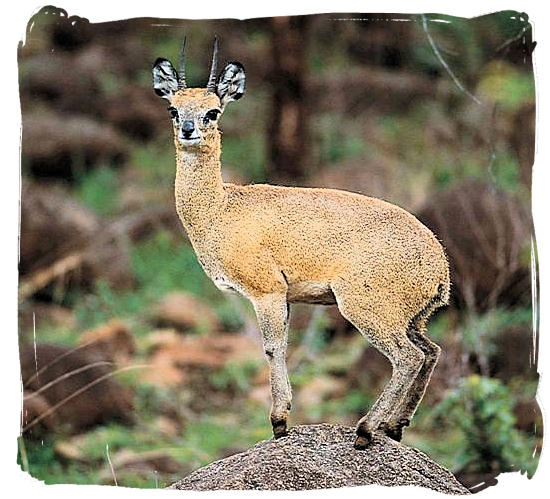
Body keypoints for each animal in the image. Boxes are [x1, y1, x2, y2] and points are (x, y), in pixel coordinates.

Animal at [153, 41, 450, 452]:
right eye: (173, 108)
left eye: (212, 111)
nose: (188, 129)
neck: (221, 209)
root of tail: (440, 267)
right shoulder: (287, 297)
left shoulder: (267, 292)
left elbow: (273, 347)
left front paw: (279, 422)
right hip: (412, 319)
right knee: (431, 352)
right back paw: (393, 427)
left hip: (365, 309)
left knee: (407, 358)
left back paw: (365, 430)